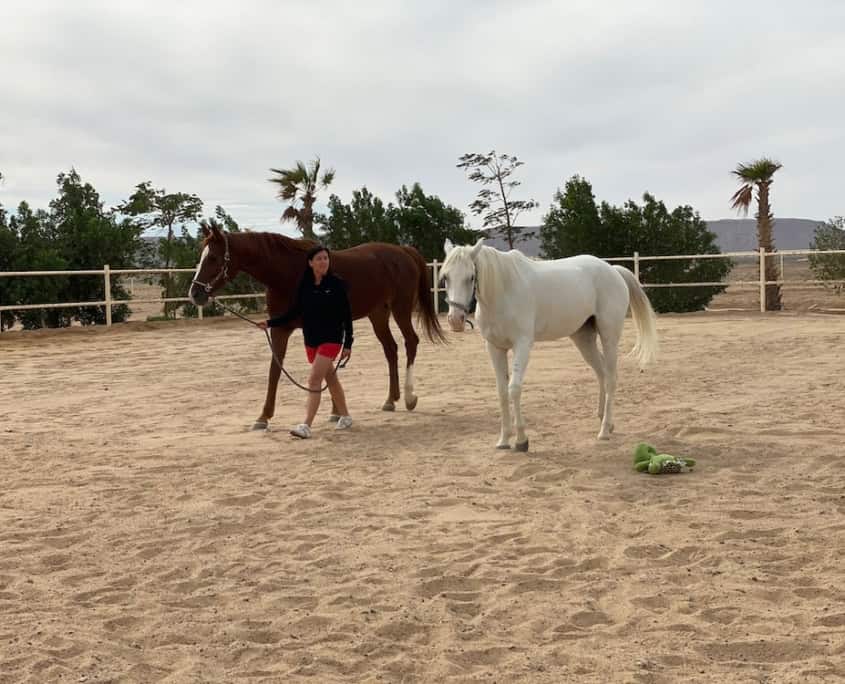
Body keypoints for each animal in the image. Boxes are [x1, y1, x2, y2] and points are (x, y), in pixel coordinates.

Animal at [189, 222, 446, 430]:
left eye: (213, 258)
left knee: (411, 342)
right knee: (391, 349)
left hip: (401, 309)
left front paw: (335, 412)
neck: (289, 273)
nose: (195, 293)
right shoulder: (280, 328)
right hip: (378, 315)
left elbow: (321, 367)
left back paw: (410, 398)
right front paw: (263, 417)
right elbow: (275, 370)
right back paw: (390, 399)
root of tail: (403, 251)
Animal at [442, 239, 660, 448]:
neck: (504, 290)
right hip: (583, 339)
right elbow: (502, 392)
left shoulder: (523, 344)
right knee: (602, 373)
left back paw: (604, 430)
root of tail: (613, 271)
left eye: (471, 277)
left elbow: (514, 388)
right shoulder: (495, 347)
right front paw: (503, 440)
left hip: (609, 336)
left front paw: (521, 440)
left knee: (611, 378)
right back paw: (606, 421)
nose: (455, 320)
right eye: (445, 277)